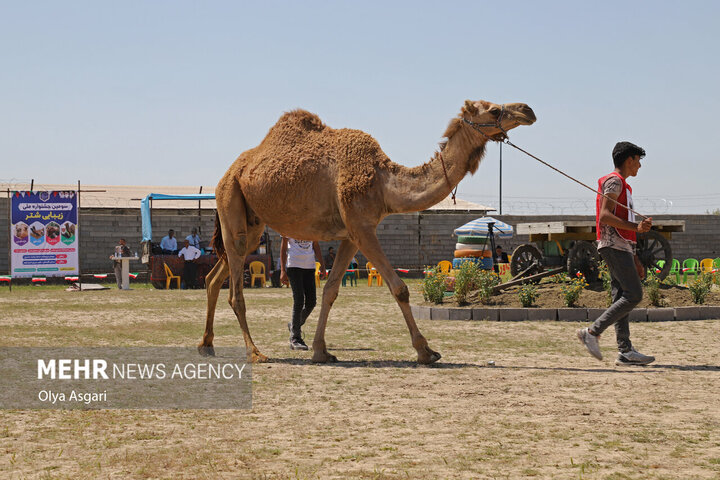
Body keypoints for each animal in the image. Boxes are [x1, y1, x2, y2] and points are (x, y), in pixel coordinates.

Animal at [200, 98, 536, 364]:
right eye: (494, 110)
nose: (528, 110)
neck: (384, 182)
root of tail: (229, 173)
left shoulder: (351, 234)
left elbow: (331, 291)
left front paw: (322, 351)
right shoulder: (362, 227)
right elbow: (399, 288)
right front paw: (426, 352)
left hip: (251, 222)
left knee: (214, 277)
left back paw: (207, 345)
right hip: (231, 202)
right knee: (235, 291)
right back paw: (255, 352)